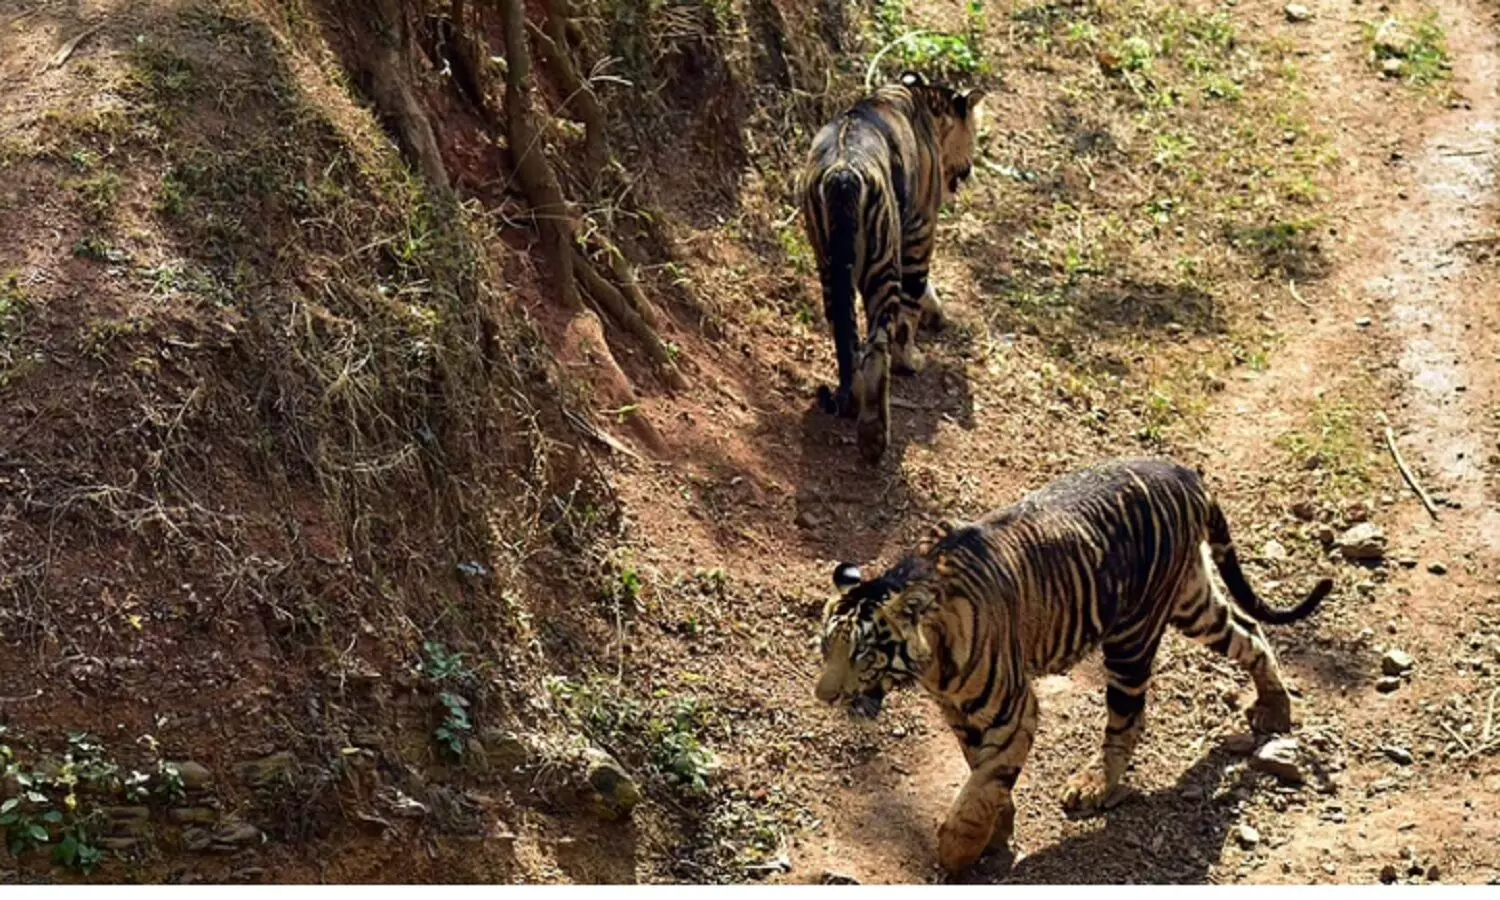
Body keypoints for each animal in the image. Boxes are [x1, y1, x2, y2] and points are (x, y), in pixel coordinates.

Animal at [798, 69, 984, 462]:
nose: (967, 172)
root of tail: (843, 173)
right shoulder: (920, 230)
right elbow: (911, 307)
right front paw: (912, 360)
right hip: (881, 269)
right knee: (877, 347)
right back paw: (874, 437)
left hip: (828, 264)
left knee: (846, 336)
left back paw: (852, 403)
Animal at [816, 456, 1332, 870]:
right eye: (825, 648)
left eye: (861, 652)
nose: (825, 695)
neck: (931, 666)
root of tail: (1184, 472)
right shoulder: (959, 713)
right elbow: (980, 771)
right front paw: (998, 832)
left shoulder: (1012, 710)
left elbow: (986, 781)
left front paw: (958, 853)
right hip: (1193, 603)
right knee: (1249, 631)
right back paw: (1274, 708)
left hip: (1132, 638)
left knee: (1127, 719)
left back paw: (1094, 786)